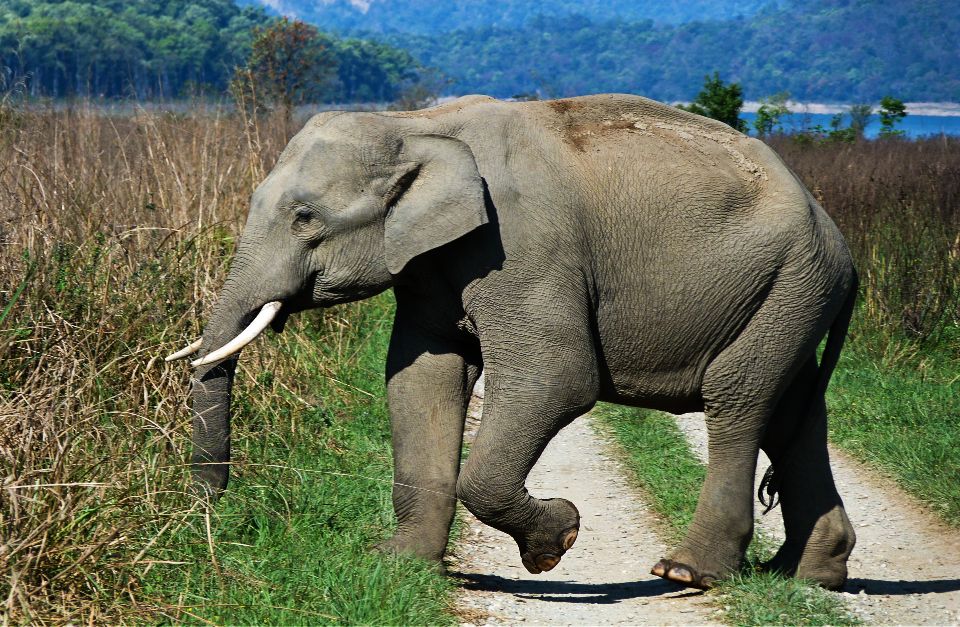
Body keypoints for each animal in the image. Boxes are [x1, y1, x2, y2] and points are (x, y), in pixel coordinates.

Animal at [169, 92, 860, 588]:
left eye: (305, 218)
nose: (206, 511)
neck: (418, 124)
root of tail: (841, 244)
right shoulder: (430, 265)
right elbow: (421, 378)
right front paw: (398, 563)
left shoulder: (523, 245)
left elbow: (558, 376)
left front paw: (558, 540)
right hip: (791, 294)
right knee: (792, 413)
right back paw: (807, 573)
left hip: (789, 283)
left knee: (738, 399)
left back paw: (687, 572)